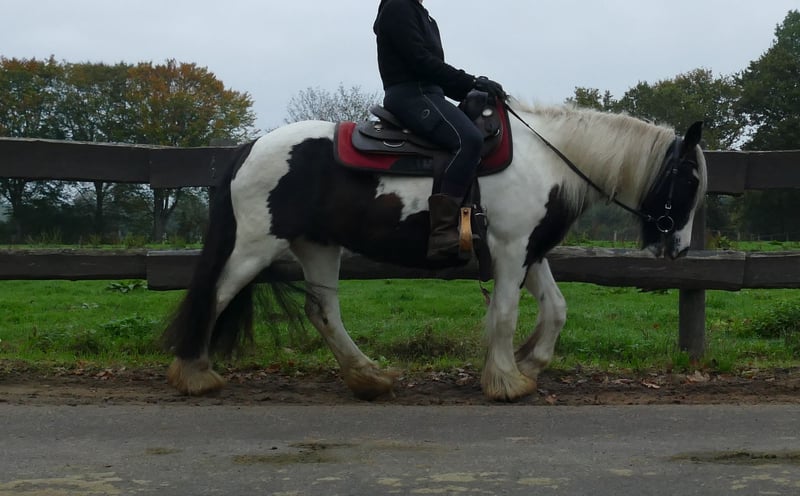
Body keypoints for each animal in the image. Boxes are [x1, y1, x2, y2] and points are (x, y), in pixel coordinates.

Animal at [162, 99, 707, 402]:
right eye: (689, 180)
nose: (677, 248)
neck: (548, 159)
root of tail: (250, 147)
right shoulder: (511, 249)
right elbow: (505, 314)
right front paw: (506, 381)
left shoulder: (529, 251)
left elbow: (555, 309)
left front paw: (530, 364)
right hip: (254, 244)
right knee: (214, 295)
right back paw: (195, 375)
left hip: (318, 246)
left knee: (323, 311)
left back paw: (370, 379)